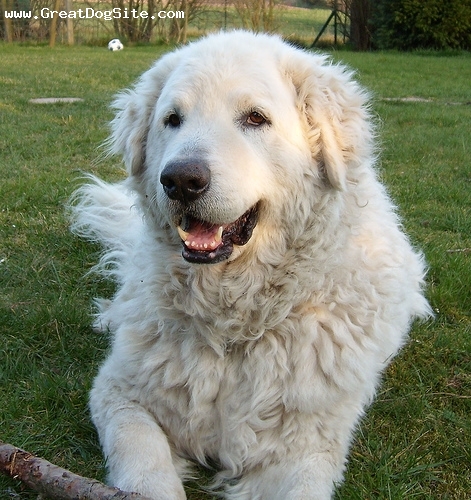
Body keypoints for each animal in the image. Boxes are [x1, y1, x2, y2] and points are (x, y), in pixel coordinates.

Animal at [73, 31, 432, 500]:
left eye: (256, 118)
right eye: (172, 119)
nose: (181, 181)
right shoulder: (121, 395)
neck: (235, 327)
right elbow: (146, 472)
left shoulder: (304, 447)